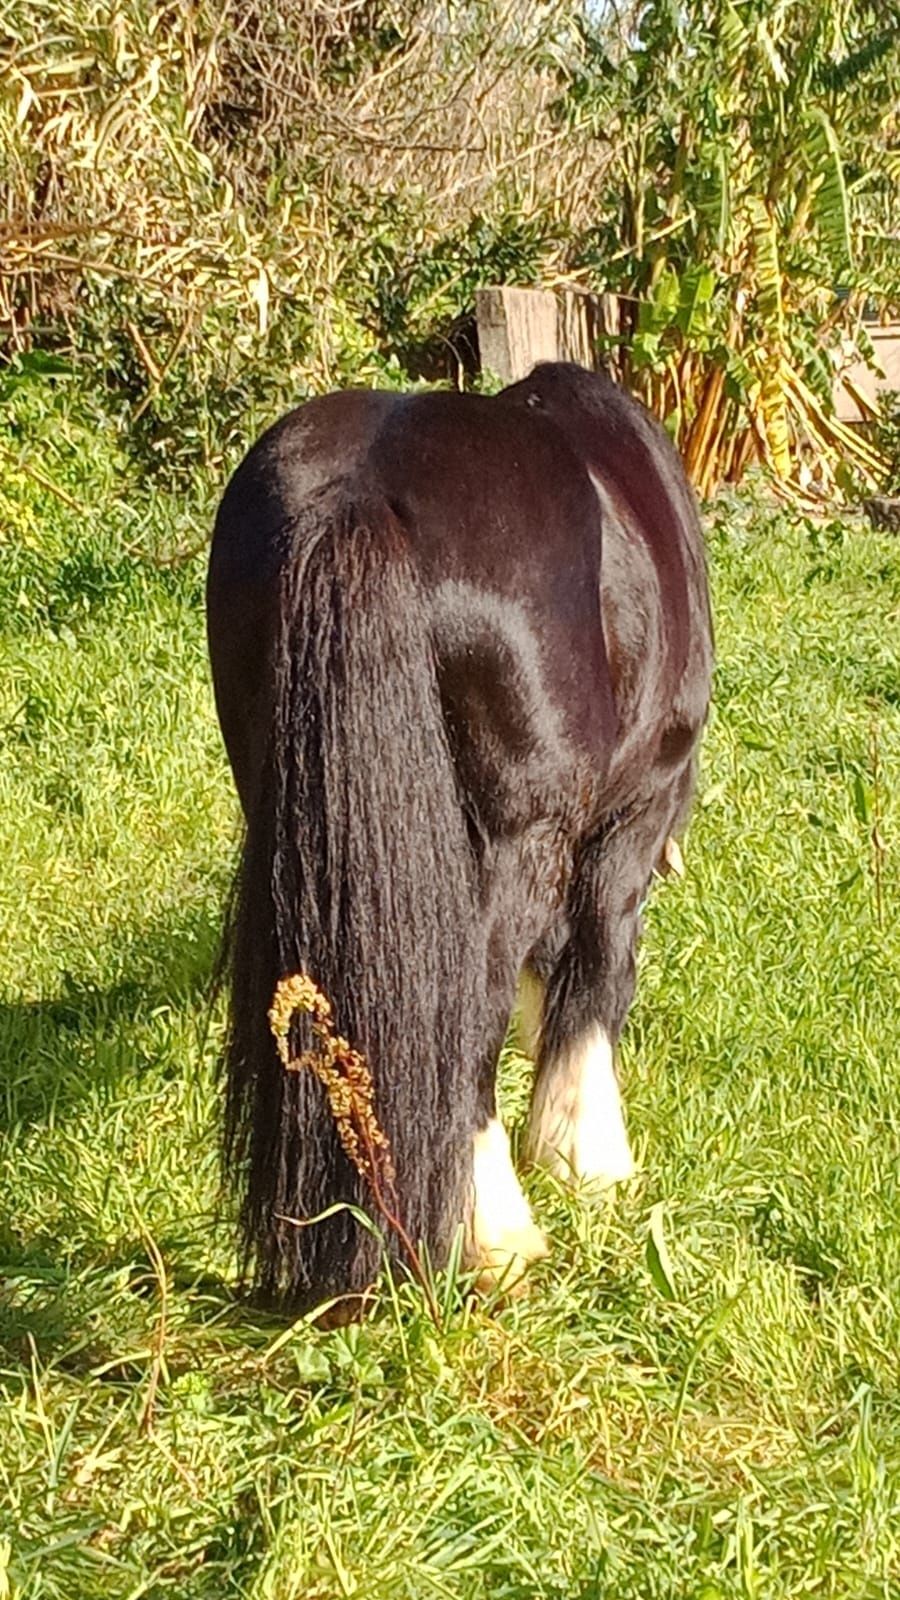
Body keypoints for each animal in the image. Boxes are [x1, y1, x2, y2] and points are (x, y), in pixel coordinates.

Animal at [206, 366, 711, 1312]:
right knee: (468, 1010)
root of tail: (355, 499)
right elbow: (597, 971)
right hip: (516, 840)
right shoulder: (633, 815)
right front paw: (587, 1158)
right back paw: (494, 1237)